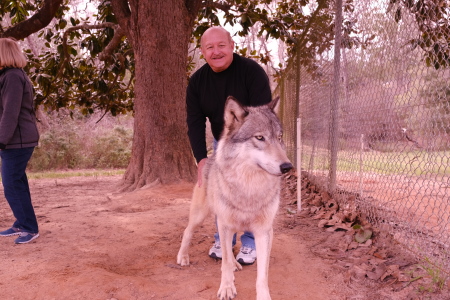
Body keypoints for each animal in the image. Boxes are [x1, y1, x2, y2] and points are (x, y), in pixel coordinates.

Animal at [178, 96, 294, 300]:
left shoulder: (263, 231)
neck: (249, 188)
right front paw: (226, 288)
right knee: (188, 231)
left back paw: (235, 263)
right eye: (259, 137)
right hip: (201, 215)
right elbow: (224, 263)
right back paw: (183, 257)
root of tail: (210, 158)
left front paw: (263, 295)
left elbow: (262, 274)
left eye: (279, 138)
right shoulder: (225, 224)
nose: (287, 167)